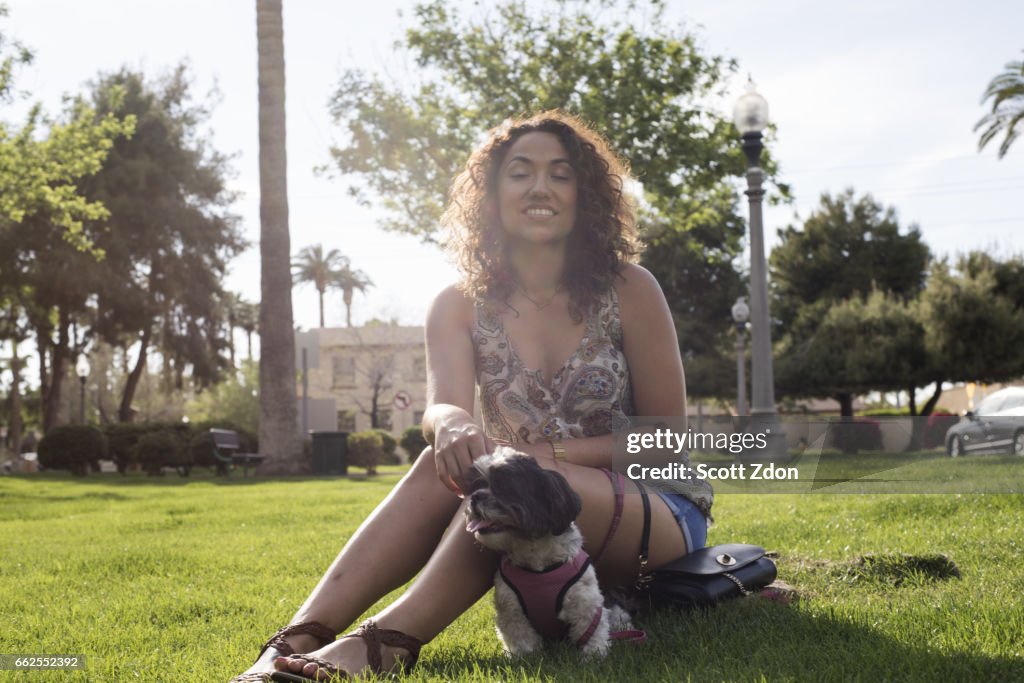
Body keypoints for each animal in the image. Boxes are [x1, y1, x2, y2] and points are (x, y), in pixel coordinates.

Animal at [462, 446, 630, 659]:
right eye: (477, 485)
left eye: (503, 487)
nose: (474, 496)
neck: (537, 563)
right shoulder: (511, 608)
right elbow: (519, 636)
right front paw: (524, 657)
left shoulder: (585, 602)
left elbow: (591, 630)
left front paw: (593, 655)